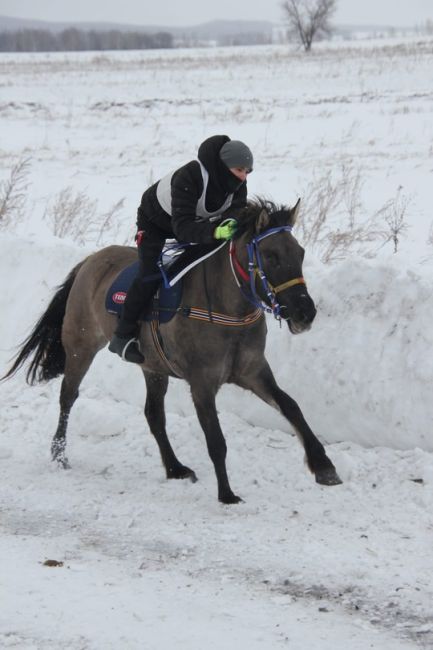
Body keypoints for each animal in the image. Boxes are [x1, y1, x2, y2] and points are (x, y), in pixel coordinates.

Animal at [2, 197, 340, 502]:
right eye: (270, 255)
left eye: (300, 253)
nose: (305, 312)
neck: (226, 308)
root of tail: (91, 260)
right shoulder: (202, 382)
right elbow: (216, 439)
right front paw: (227, 494)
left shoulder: (253, 371)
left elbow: (291, 406)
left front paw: (323, 465)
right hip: (80, 346)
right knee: (68, 397)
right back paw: (59, 453)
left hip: (152, 367)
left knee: (153, 414)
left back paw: (175, 468)